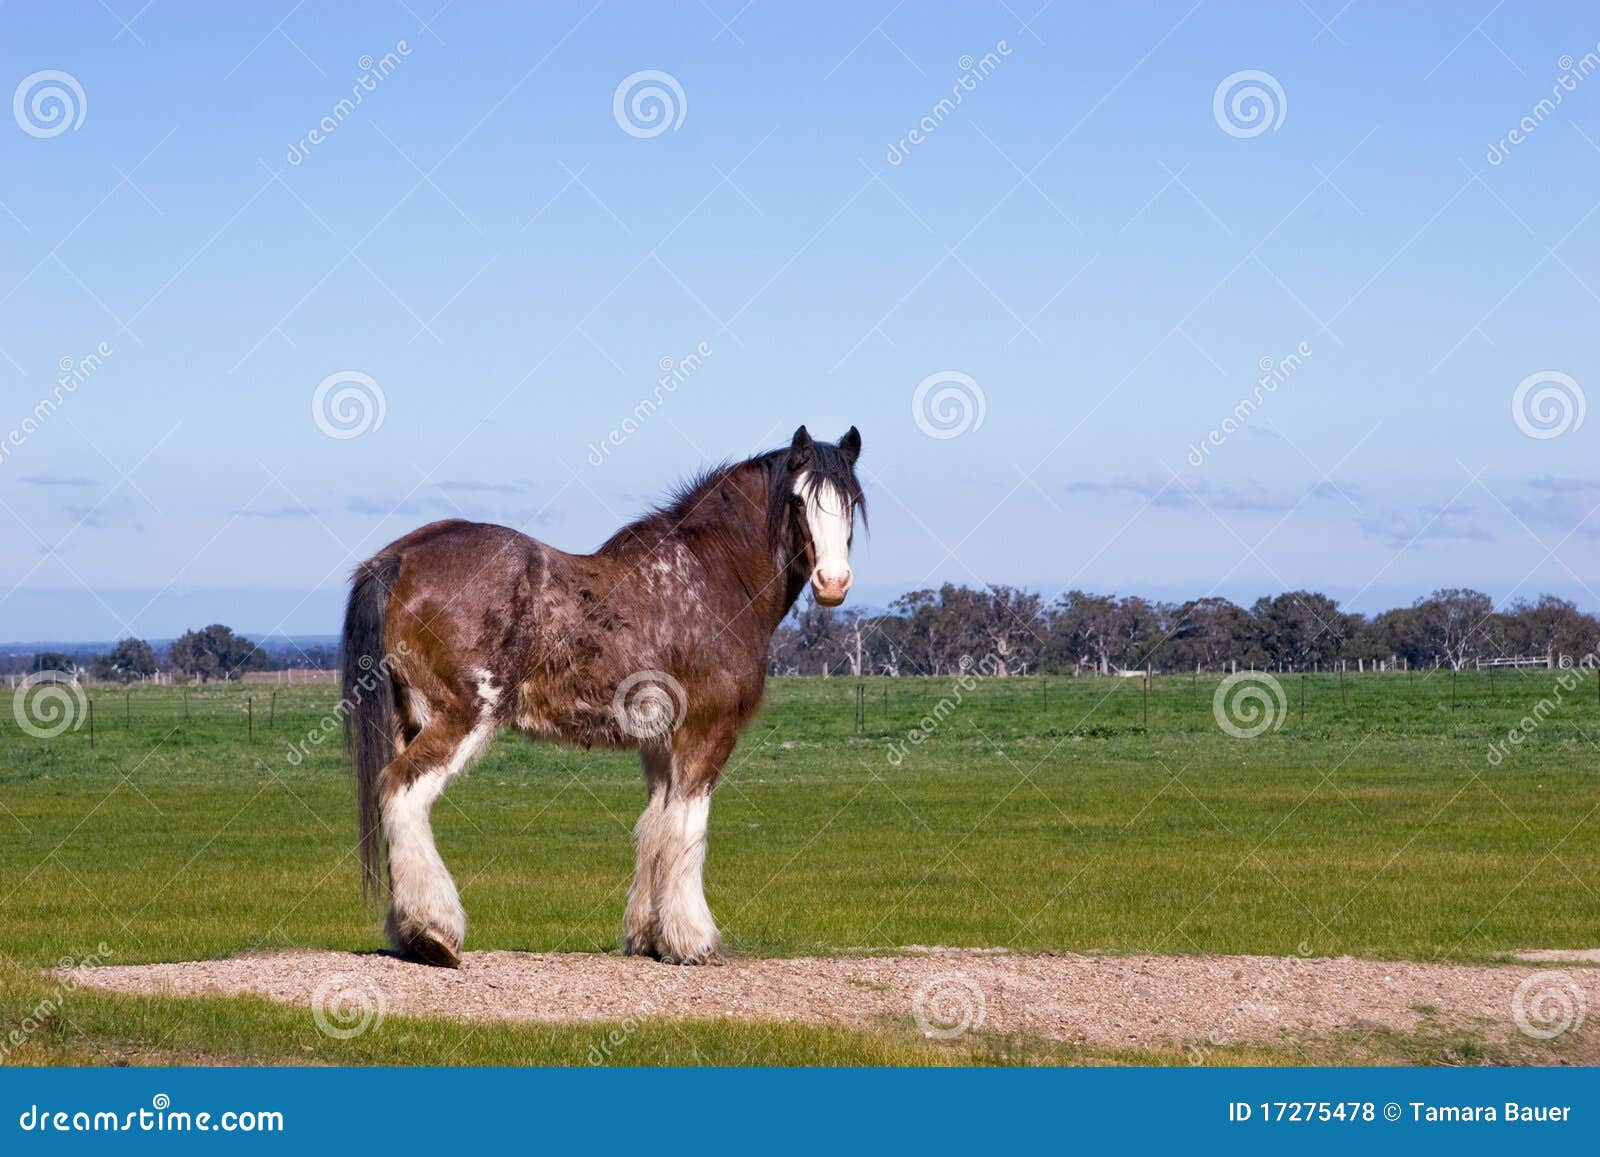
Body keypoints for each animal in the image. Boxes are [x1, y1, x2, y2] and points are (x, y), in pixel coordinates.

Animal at [340, 425, 864, 967]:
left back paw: (408, 934)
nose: (833, 583)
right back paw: (434, 933)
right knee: (401, 791)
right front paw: (692, 941)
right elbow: (688, 827)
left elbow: (657, 826)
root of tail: (400, 557)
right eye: (798, 501)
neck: (708, 579)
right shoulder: (707, 731)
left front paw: (651, 937)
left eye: (851, 501)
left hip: (407, 719)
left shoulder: (660, 744)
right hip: (461, 719)